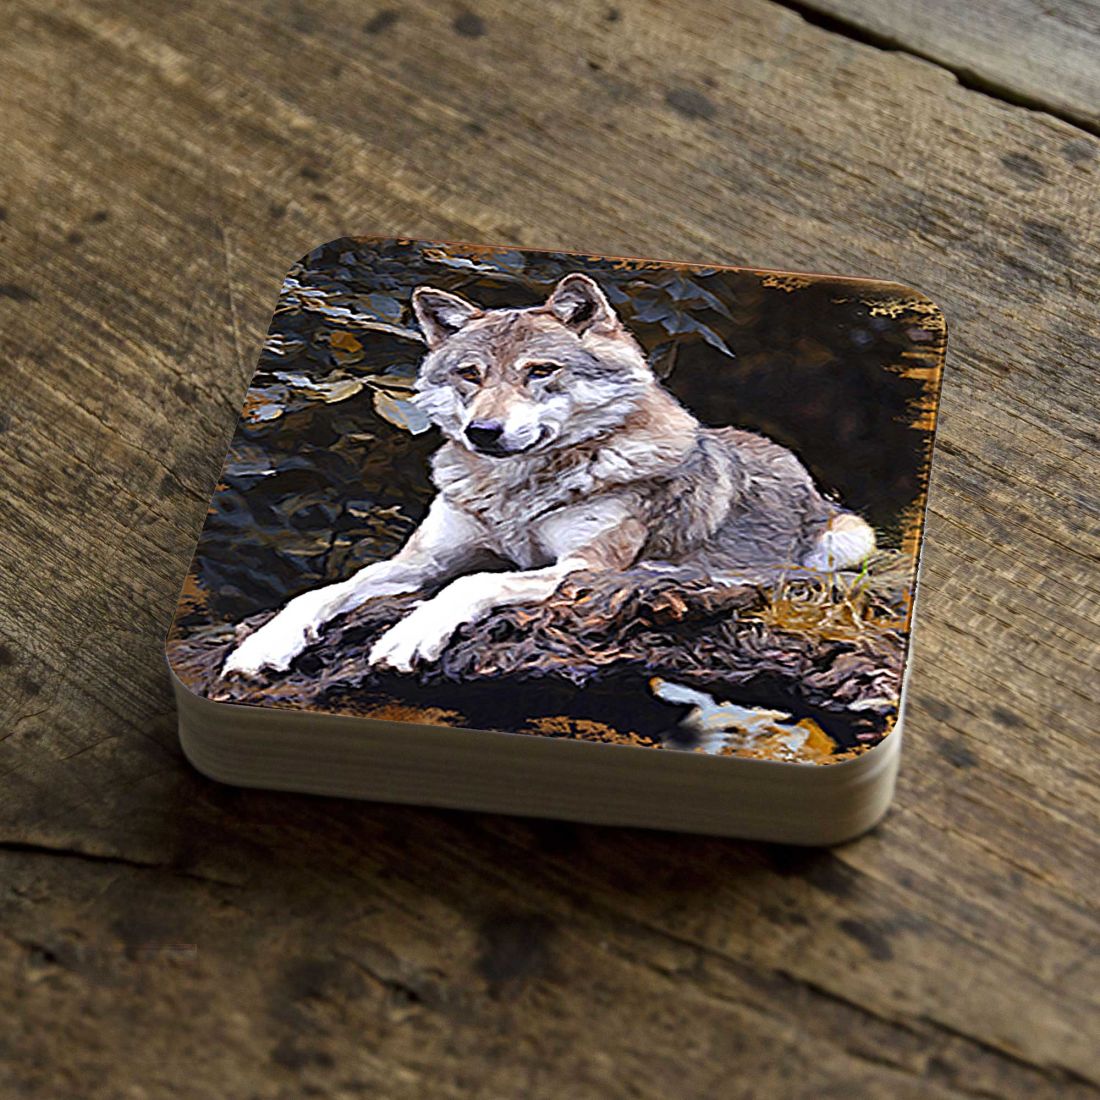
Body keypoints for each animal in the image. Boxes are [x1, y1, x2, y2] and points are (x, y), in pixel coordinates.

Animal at [223, 273, 874, 677]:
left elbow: (472, 584)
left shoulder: (580, 568)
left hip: (851, 537)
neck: (517, 491)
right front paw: (263, 644)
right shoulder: (419, 563)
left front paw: (408, 636)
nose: (483, 432)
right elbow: (321, 592)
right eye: (471, 375)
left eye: (539, 371)